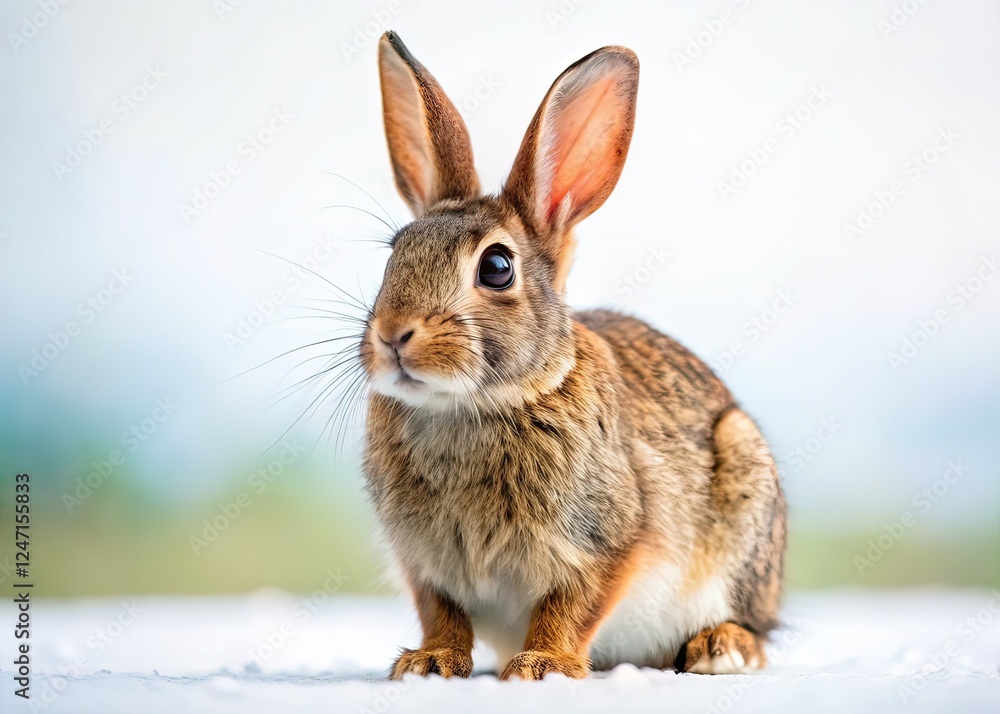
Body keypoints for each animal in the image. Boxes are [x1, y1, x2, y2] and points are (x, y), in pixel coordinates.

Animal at [359, 31, 786, 681]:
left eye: (496, 267)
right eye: (393, 254)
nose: (392, 335)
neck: (474, 406)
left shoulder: (610, 539)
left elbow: (573, 605)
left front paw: (544, 664)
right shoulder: (424, 563)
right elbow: (441, 611)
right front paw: (430, 662)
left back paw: (722, 647)